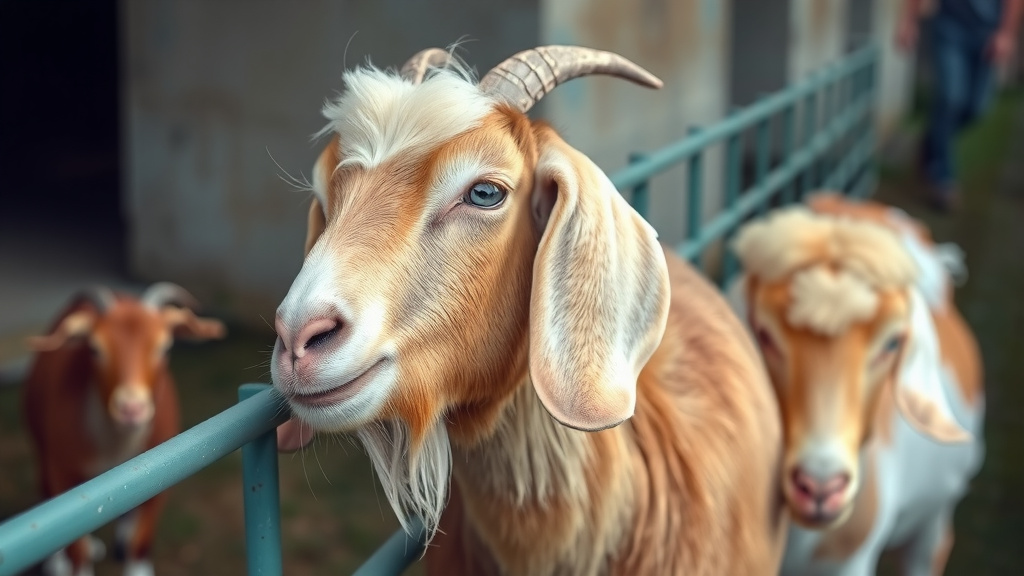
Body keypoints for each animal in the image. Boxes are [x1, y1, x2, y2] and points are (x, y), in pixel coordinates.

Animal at [23, 283, 226, 576]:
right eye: (94, 349)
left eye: (165, 348)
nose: (131, 408)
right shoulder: (61, 468)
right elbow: (76, 546)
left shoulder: (162, 476)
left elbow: (140, 541)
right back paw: (59, 561)